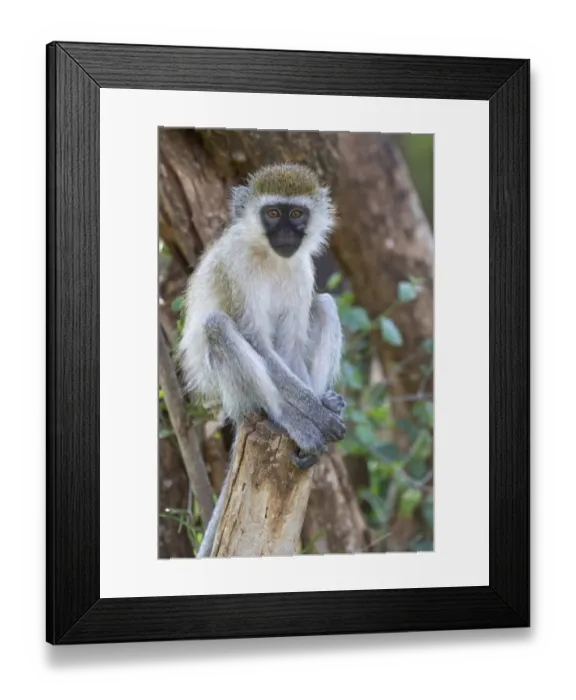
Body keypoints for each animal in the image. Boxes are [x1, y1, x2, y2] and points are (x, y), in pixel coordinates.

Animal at [177, 163, 347, 557]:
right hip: (226, 392)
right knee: (217, 326)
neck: (270, 257)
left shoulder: (301, 270)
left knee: (325, 305)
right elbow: (258, 342)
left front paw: (319, 405)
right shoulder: (235, 267)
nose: (285, 232)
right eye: (272, 213)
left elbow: (289, 346)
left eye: (296, 214)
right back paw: (287, 418)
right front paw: (313, 414)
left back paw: (323, 401)